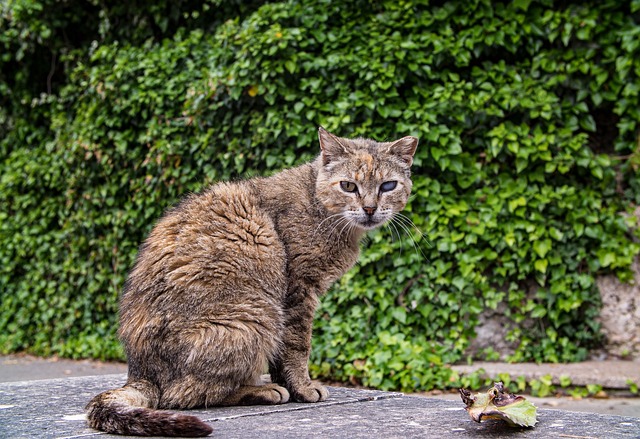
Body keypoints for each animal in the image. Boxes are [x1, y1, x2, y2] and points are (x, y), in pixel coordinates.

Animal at [85, 127, 418, 436]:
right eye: (349, 186)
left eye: (388, 185)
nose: (370, 208)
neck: (318, 205)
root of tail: (140, 373)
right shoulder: (298, 292)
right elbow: (297, 348)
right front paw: (303, 388)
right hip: (256, 317)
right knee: (184, 396)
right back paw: (261, 390)